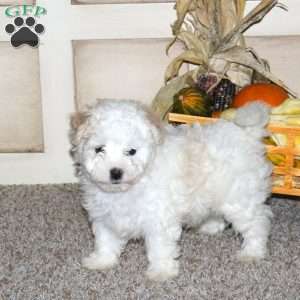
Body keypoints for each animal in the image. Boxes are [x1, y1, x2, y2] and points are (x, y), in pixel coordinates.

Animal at [69, 99, 272, 282]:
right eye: (99, 149)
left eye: (132, 151)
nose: (116, 172)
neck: (127, 189)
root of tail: (247, 134)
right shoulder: (105, 217)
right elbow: (105, 241)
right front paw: (101, 261)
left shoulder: (159, 219)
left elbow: (160, 248)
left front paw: (161, 272)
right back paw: (211, 227)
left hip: (240, 198)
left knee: (256, 223)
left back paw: (252, 252)